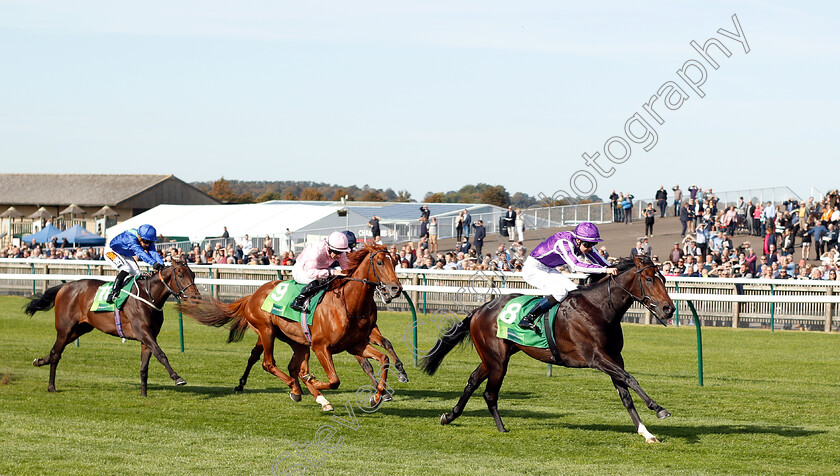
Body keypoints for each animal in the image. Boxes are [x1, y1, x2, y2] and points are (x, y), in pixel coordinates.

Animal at [24, 258, 200, 396]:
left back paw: (39, 361)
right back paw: (51, 386)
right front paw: (177, 378)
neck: (148, 295)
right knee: (56, 354)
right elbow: (161, 354)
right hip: (65, 329)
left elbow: (144, 366)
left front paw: (144, 394)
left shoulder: (148, 337)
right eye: (180, 275)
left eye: (193, 274)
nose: (195, 296)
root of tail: (65, 286)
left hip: (80, 329)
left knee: (55, 351)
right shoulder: (143, 332)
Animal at [182, 244, 406, 410]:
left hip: (298, 341)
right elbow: (334, 380)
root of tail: (253, 294)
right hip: (266, 331)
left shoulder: (355, 344)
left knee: (294, 367)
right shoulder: (321, 347)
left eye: (395, 262)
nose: (396, 288)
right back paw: (296, 388)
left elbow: (384, 359)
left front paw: (378, 396)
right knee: (268, 363)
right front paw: (313, 382)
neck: (348, 304)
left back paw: (318, 398)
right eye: (379, 262)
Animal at [420, 255, 676, 444]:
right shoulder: (596, 358)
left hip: (493, 357)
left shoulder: (614, 357)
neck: (599, 308)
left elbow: (625, 395)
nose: (669, 309)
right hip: (498, 360)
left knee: (473, 381)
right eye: (650, 279)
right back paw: (501, 428)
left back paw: (449, 416)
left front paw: (646, 433)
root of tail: (481, 308)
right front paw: (659, 408)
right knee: (489, 393)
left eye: (664, 278)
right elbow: (631, 379)